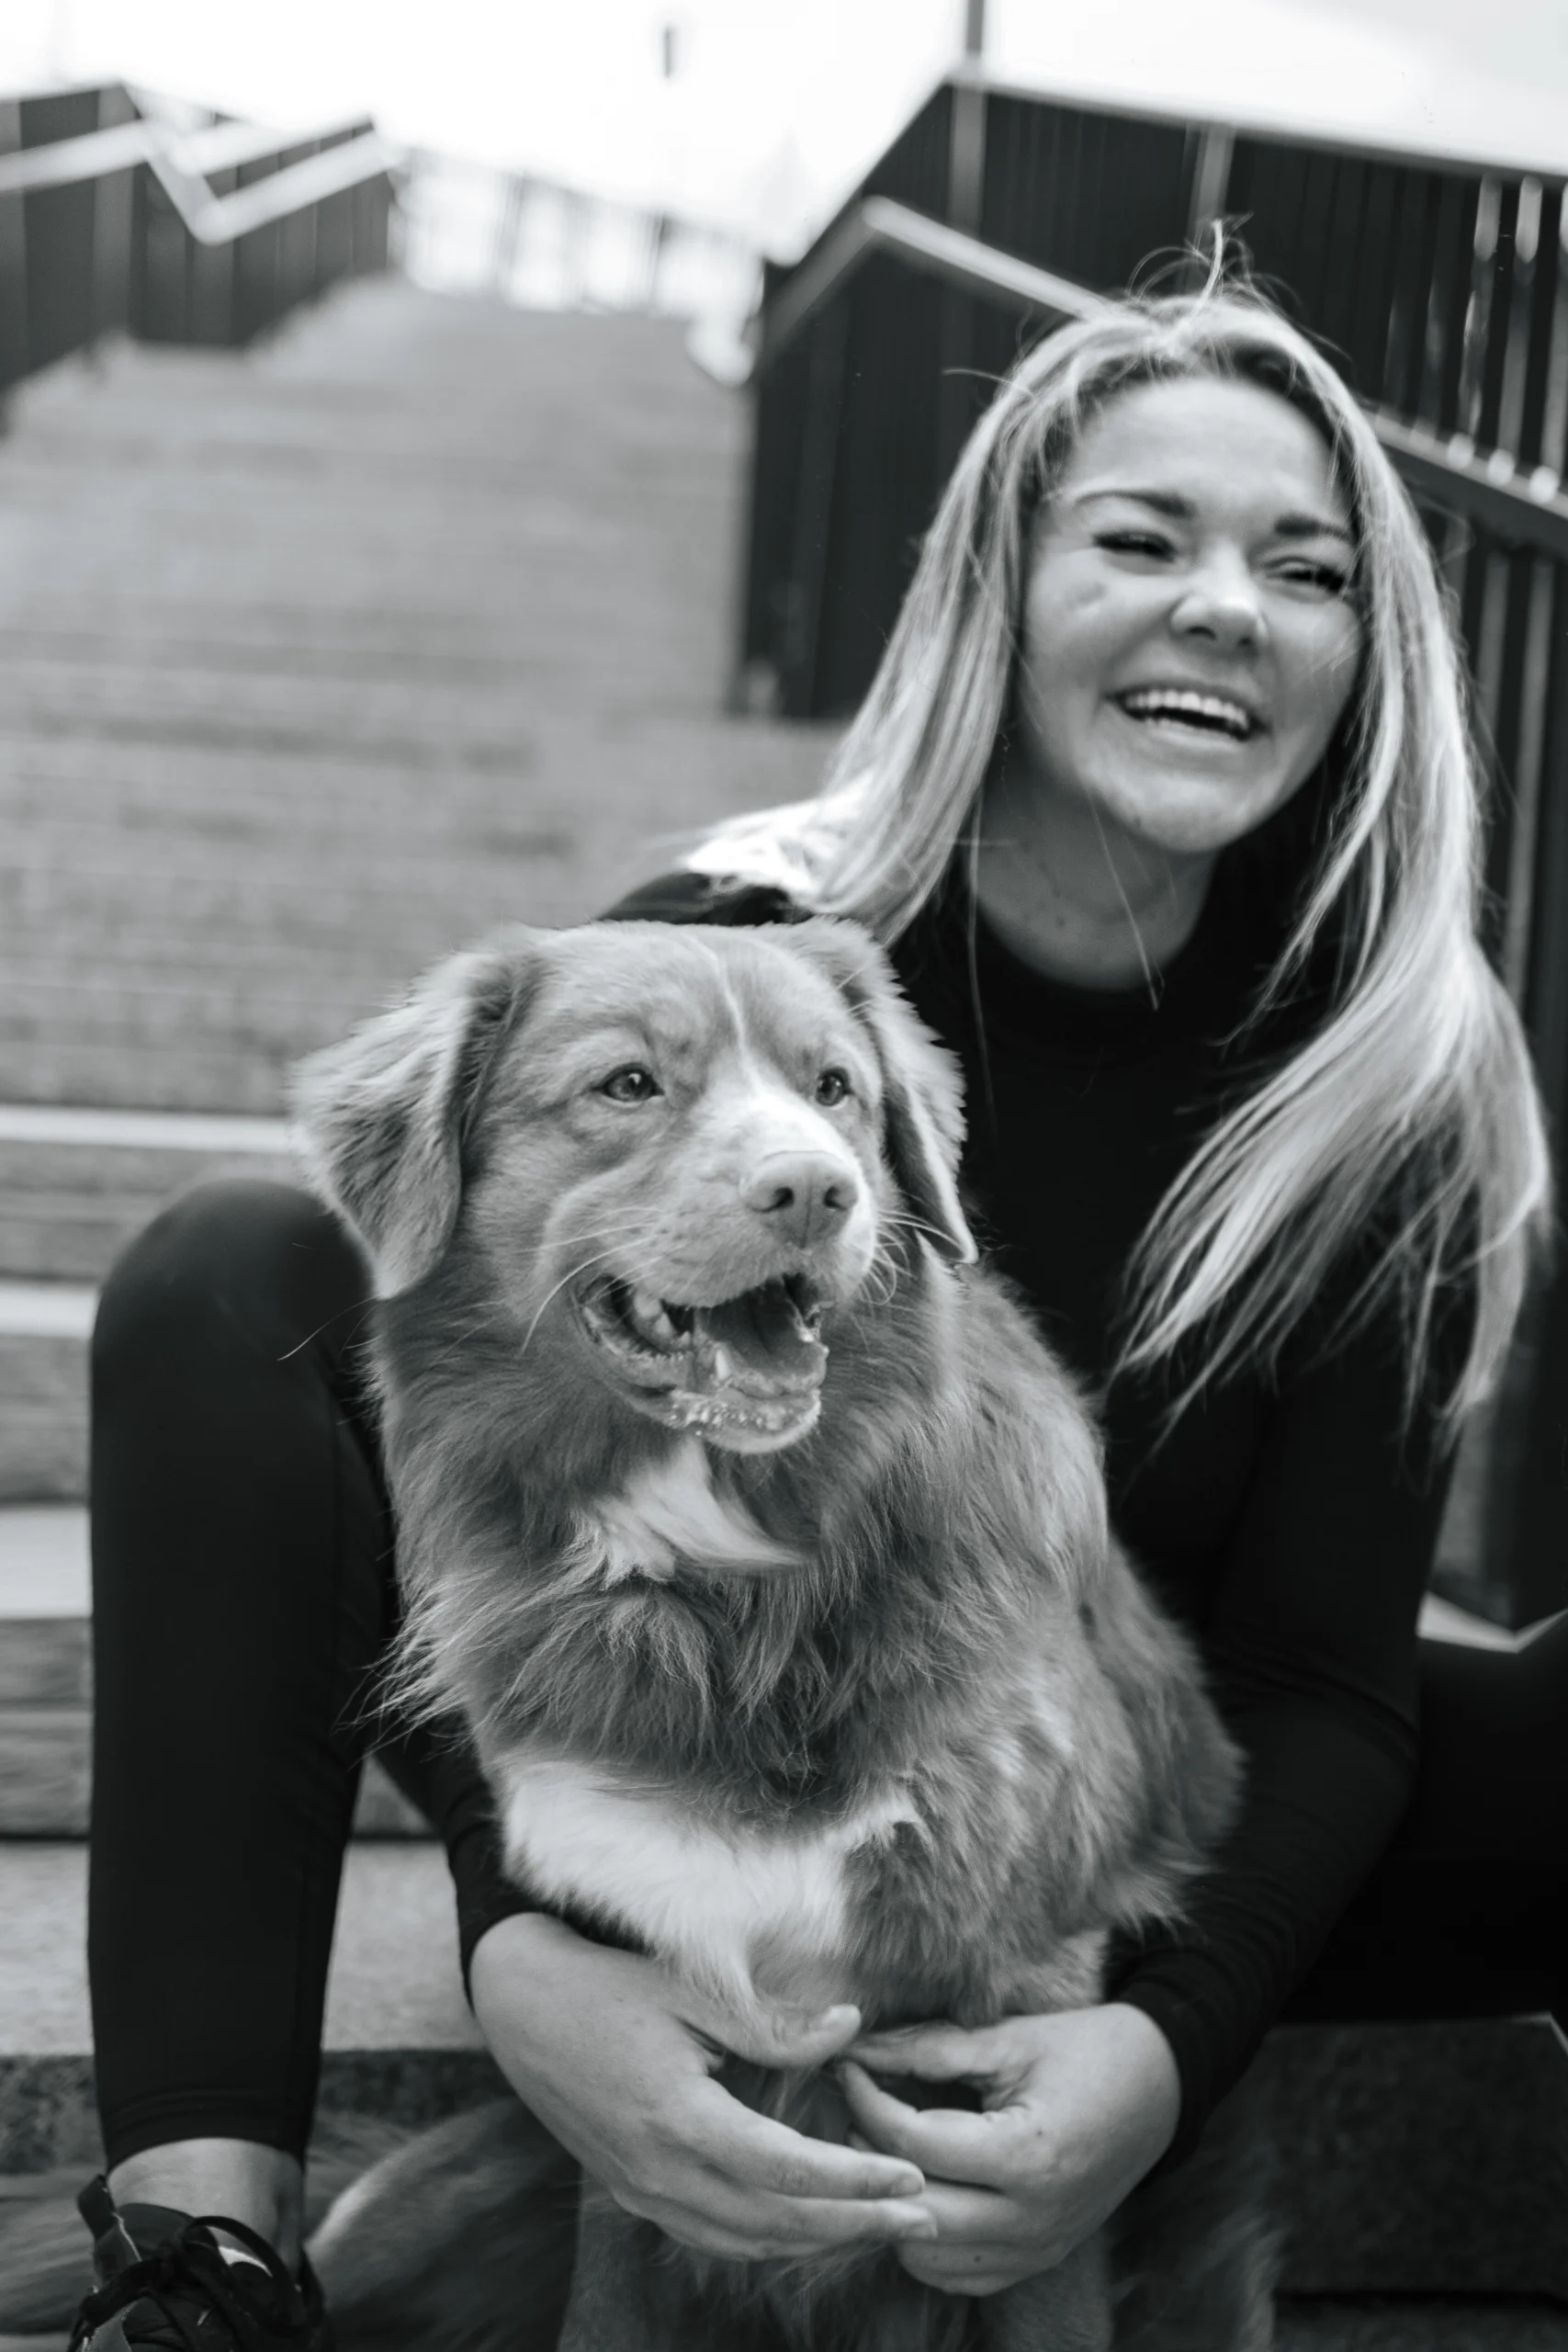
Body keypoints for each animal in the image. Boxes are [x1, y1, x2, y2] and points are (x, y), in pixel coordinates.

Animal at [293, 912, 1279, 2352]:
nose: (815, 1191)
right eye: (628, 1085)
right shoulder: (634, 2060)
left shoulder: (1029, 2018)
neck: (738, 1592)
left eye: (834, 1091)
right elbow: (608, 2296)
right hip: (380, 2220)